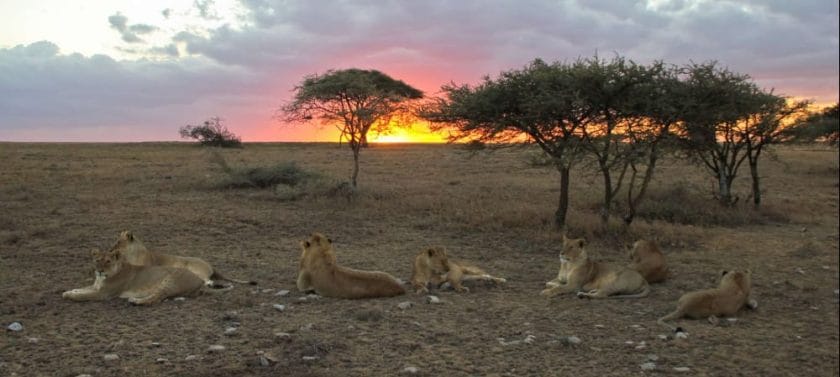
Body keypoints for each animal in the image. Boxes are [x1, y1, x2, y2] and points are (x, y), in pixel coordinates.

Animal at [62, 247, 207, 306]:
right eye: (97, 260)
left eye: (108, 261)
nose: (100, 271)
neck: (101, 279)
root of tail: (200, 281)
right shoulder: (96, 287)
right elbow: (83, 289)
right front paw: (69, 291)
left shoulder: (103, 294)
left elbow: (84, 295)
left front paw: (71, 295)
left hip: (170, 281)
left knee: (156, 299)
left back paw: (136, 301)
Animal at [111, 229, 256, 288]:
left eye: (118, 242)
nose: (111, 249)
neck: (131, 255)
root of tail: (211, 266)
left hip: (193, 269)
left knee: (207, 280)